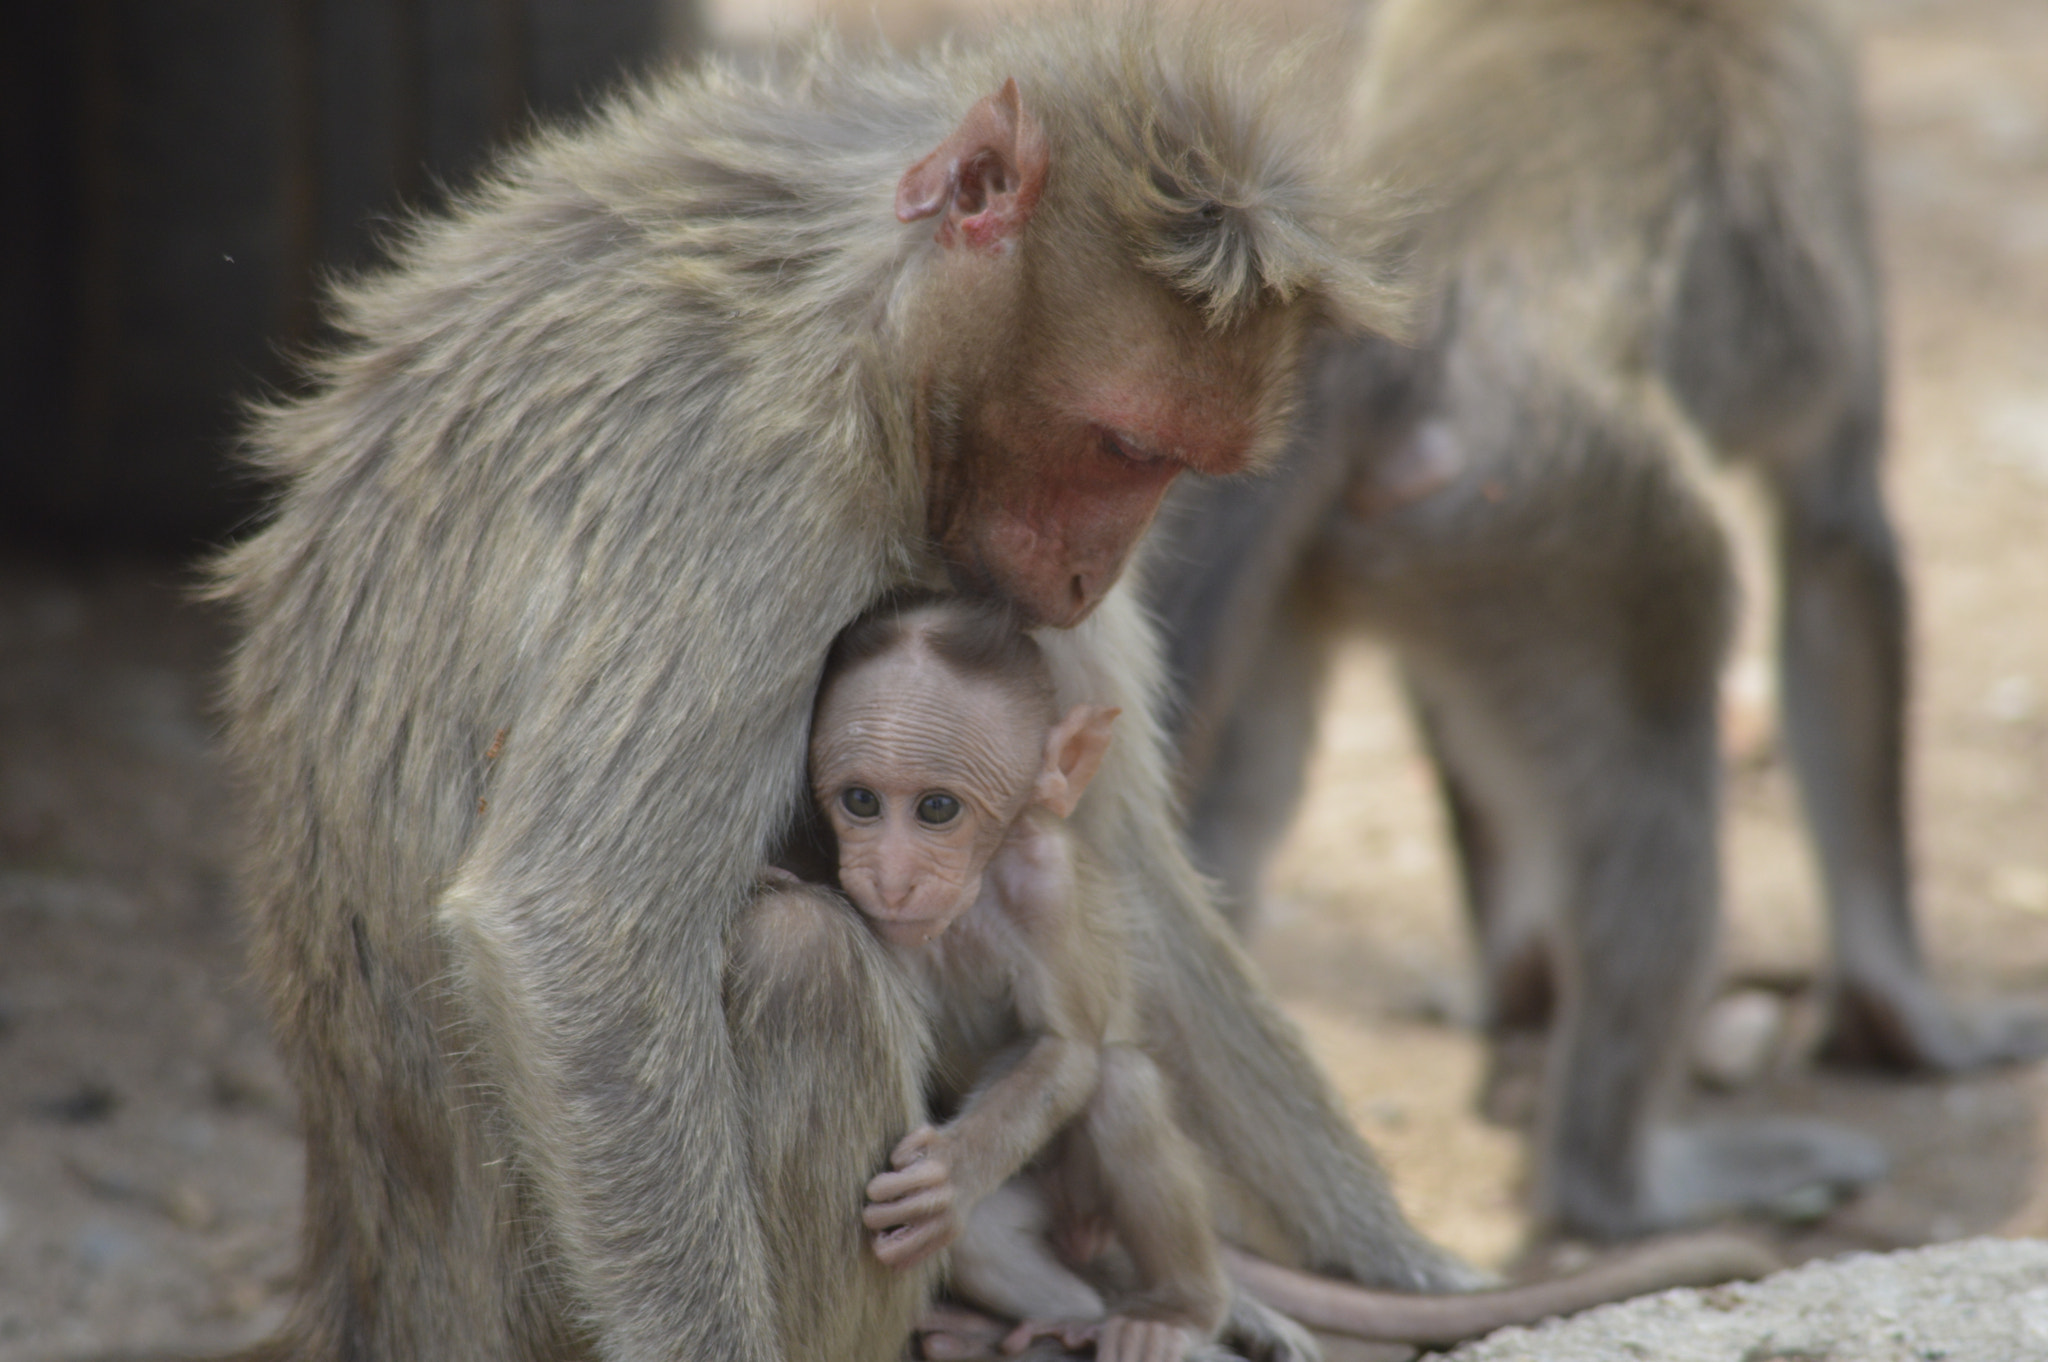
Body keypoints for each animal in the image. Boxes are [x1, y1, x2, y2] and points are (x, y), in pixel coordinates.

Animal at [207, 11, 1474, 1361]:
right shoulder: (761, 485)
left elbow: (1111, 875)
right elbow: (573, 929)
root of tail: (365, 1281)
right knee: (803, 961)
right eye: (1123, 447)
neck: (863, 314)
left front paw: (1403, 1268)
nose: (1092, 575)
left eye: (1178, 466)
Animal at [1142, 0, 2047, 1245]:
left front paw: (1509, 986)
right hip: (1558, 501)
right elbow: (1832, 541)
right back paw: (1630, 1185)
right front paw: (1915, 1021)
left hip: (1332, 516)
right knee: (1674, 661)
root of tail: (1366, 332)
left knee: (1247, 779)